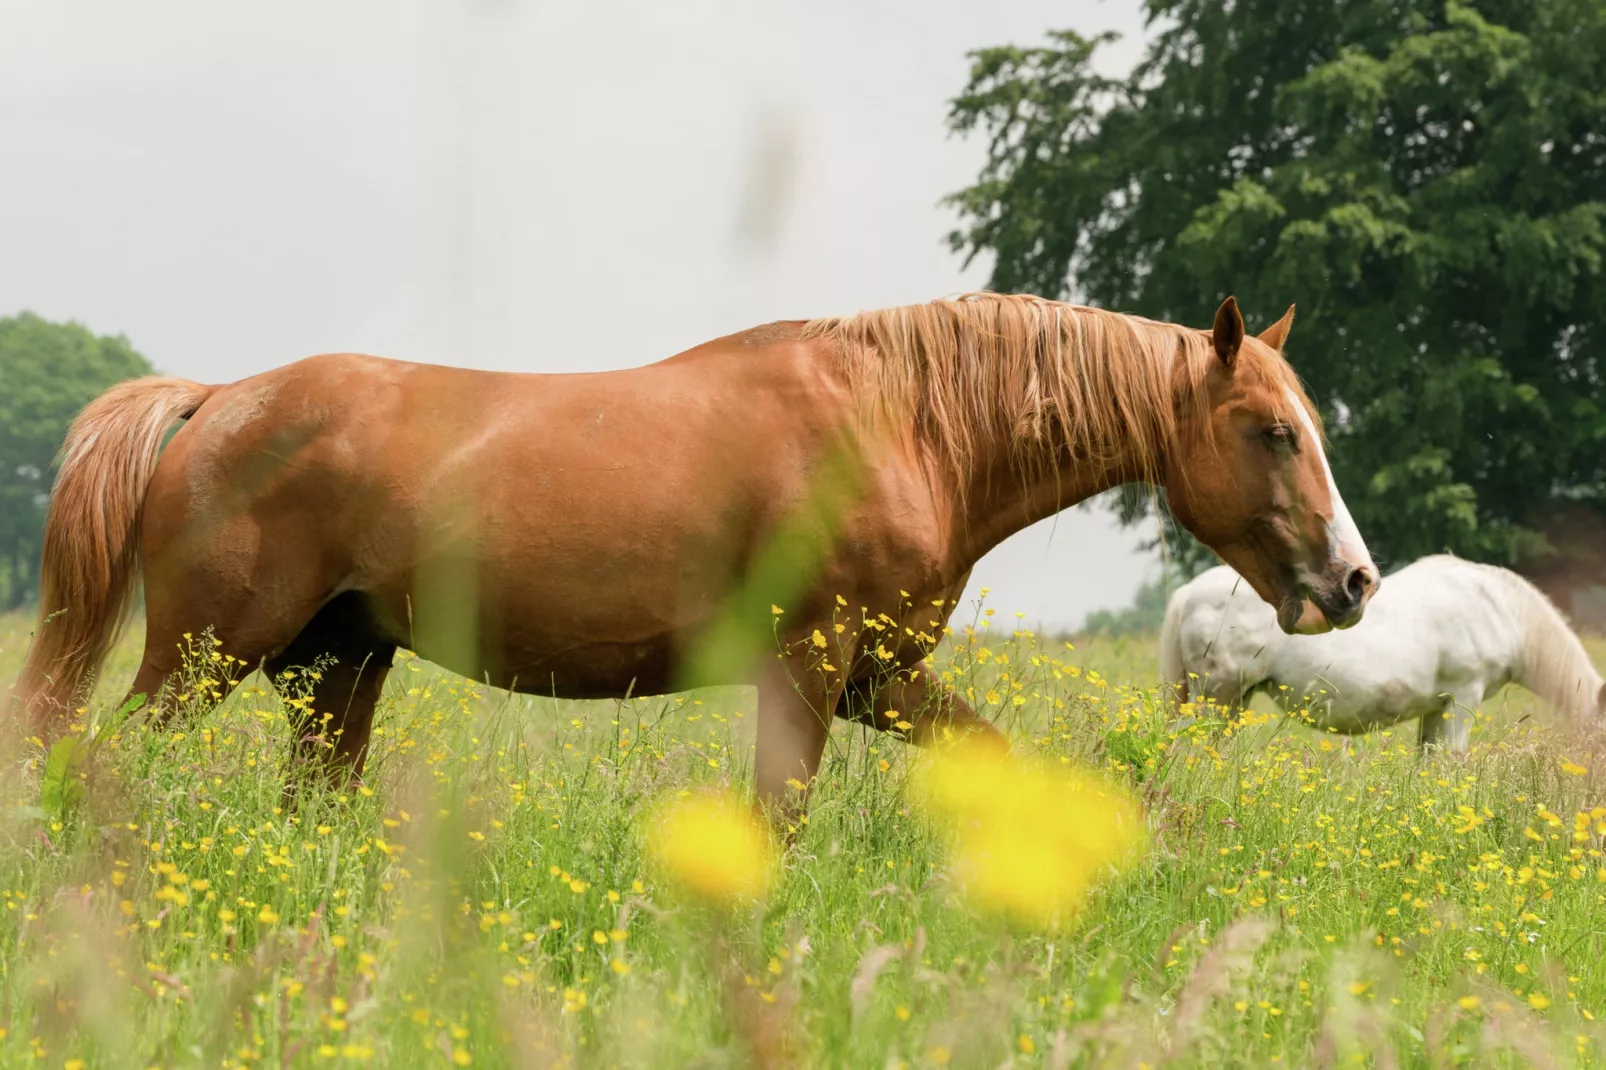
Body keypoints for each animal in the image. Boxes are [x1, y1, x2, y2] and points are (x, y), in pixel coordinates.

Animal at [12, 292, 1381, 800]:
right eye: (1270, 430)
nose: (1353, 580)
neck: (903, 422)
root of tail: (213, 401)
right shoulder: (814, 667)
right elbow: (777, 812)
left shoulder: (881, 678)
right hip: (206, 654)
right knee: (97, 766)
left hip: (336, 668)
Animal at [1162, 552, 1599, 745]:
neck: (1498, 608)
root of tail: (1186, 593)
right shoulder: (1462, 699)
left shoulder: (1436, 709)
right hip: (1215, 697)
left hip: (1235, 701)